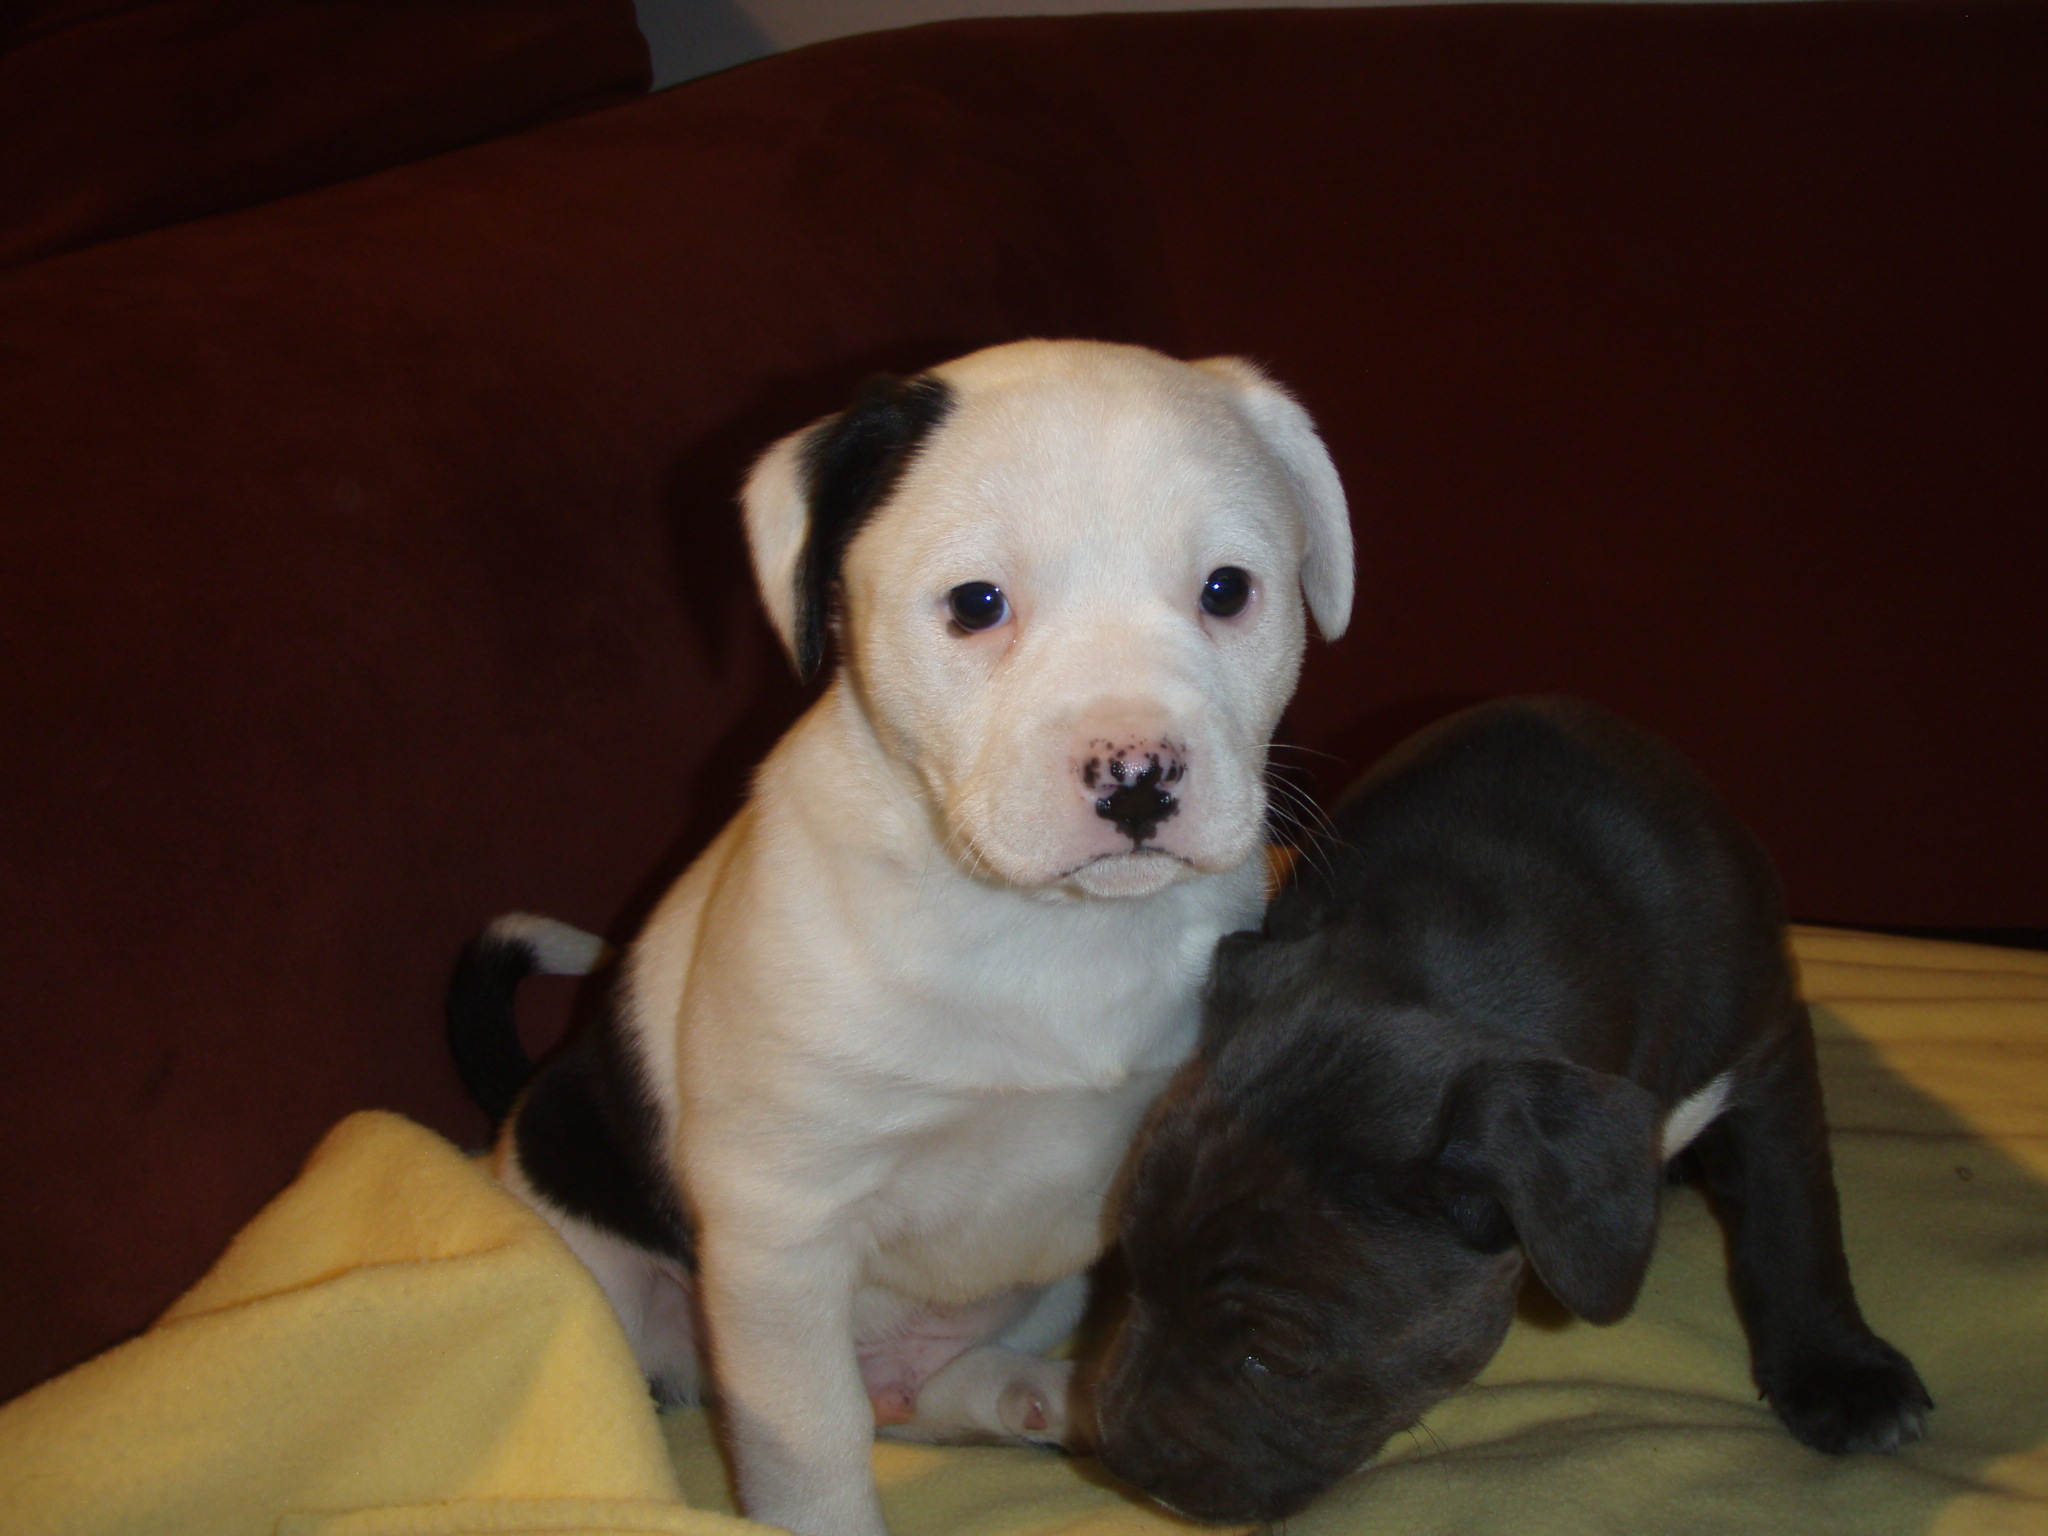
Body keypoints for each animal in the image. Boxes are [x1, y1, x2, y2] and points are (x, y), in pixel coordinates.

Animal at [446, 339, 1343, 1536]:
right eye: (976, 604)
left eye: (1227, 591)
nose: (1138, 778)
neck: (1043, 931)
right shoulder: (781, 1232)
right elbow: (811, 1448)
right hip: (604, 1269)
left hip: (1035, 1291)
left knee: (930, 1395)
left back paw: (1033, 1395)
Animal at [1097, 700, 1925, 1531]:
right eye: (1133, 1270)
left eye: (1272, 1359)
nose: (1123, 1461)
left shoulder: (1766, 1052)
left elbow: (1792, 1226)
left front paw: (1842, 1375)